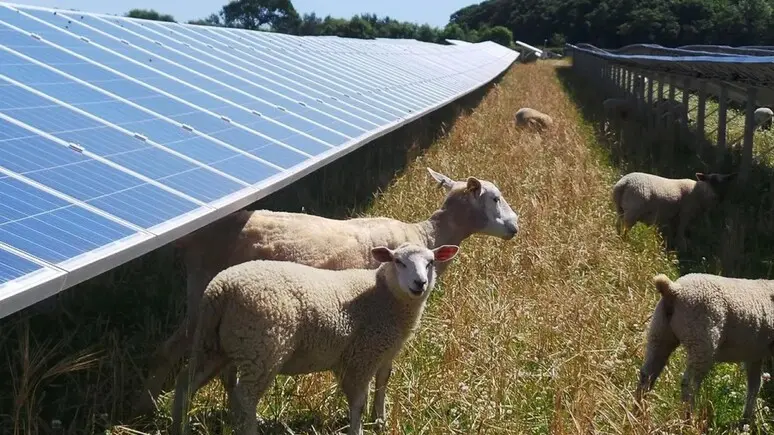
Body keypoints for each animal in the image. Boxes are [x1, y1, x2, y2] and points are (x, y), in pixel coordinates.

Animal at [171, 244, 460, 435]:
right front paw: (357, 429)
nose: (419, 283)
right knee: (245, 396)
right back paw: (251, 428)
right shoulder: (361, 356)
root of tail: (220, 289)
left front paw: (380, 421)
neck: (384, 296)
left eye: (430, 262)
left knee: (186, 383)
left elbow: (381, 386)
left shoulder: (384, 353)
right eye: (398, 261)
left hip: (216, 345)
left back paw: (179, 426)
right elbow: (358, 400)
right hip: (263, 348)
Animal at [612, 172, 740, 250]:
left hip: (620, 209)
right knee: (625, 230)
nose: (719, 197)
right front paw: (681, 248)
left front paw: (671, 247)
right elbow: (680, 233)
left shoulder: (673, 217)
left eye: (725, 184)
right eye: (711, 181)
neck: (699, 192)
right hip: (632, 211)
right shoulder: (685, 214)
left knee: (618, 225)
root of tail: (623, 183)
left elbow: (673, 233)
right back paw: (626, 242)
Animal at [632, 276, 774, 422]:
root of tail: (673, 289)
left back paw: (637, 414)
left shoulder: (755, 354)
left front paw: (746, 421)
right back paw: (689, 420)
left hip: (659, 332)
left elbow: (754, 385)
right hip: (701, 339)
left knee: (647, 376)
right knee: (689, 385)